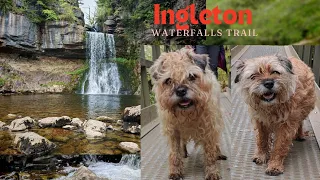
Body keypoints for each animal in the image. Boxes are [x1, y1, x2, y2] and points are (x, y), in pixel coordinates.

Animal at [149, 47, 225, 180]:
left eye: (191, 76)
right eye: (168, 80)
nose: (180, 91)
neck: (187, 114)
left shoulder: (209, 129)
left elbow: (210, 153)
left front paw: (212, 171)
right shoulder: (173, 132)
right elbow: (174, 154)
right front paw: (175, 170)